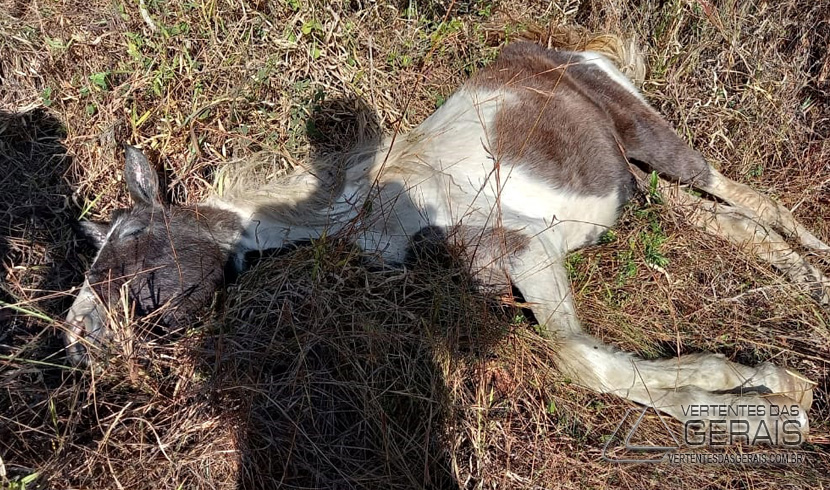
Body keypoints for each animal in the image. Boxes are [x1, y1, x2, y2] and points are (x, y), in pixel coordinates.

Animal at [64, 33, 828, 445]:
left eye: (132, 244)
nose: (80, 344)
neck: (369, 210)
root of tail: (571, 53)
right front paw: (765, 396)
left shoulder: (530, 250)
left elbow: (582, 361)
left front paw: (766, 396)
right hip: (635, 182)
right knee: (726, 220)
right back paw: (798, 284)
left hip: (651, 136)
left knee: (747, 195)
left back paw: (815, 281)